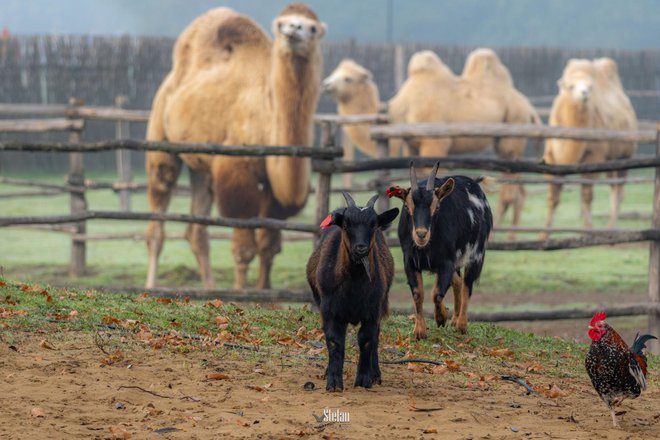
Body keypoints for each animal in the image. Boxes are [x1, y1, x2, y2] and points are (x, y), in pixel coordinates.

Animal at [147, 4, 328, 292]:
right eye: (282, 24)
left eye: (312, 27)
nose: (293, 30)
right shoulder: (237, 174)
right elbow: (244, 249)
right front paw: (242, 292)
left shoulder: (274, 193)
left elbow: (269, 247)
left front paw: (264, 293)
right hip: (161, 141)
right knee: (158, 216)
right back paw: (151, 285)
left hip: (202, 166)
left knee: (197, 230)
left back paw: (209, 287)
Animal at [306, 191, 400, 390]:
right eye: (346, 225)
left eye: (373, 225)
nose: (360, 248)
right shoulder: (329, 309)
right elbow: (334, 341)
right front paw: (334, 382)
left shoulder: (373, 310)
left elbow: (367, 339)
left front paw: (364, 379)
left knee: (376, 337)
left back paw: (375, 374)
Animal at [386, 163, 490, 338]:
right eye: (406, 206)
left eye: (437, 207)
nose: (421, 234)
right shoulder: (410, 262)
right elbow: (418, 294)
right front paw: (419, 331)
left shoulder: (446, 262)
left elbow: (437, 293)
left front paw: (441, 317)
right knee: (458, 282)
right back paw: (454, 319)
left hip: (476, 254)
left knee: (467, 285)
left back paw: (461, 325)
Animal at [540, 58, 640, 241]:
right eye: (570, 86)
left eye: (590, 86)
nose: (584, 93)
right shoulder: (551, 158)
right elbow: (553, 197)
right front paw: (543, 235)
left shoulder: (594, 156)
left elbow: (586, 195)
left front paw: (587, 231)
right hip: (611, 160)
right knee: (613, 187)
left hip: (626, 155)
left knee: (619, 190)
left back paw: (611, 229)